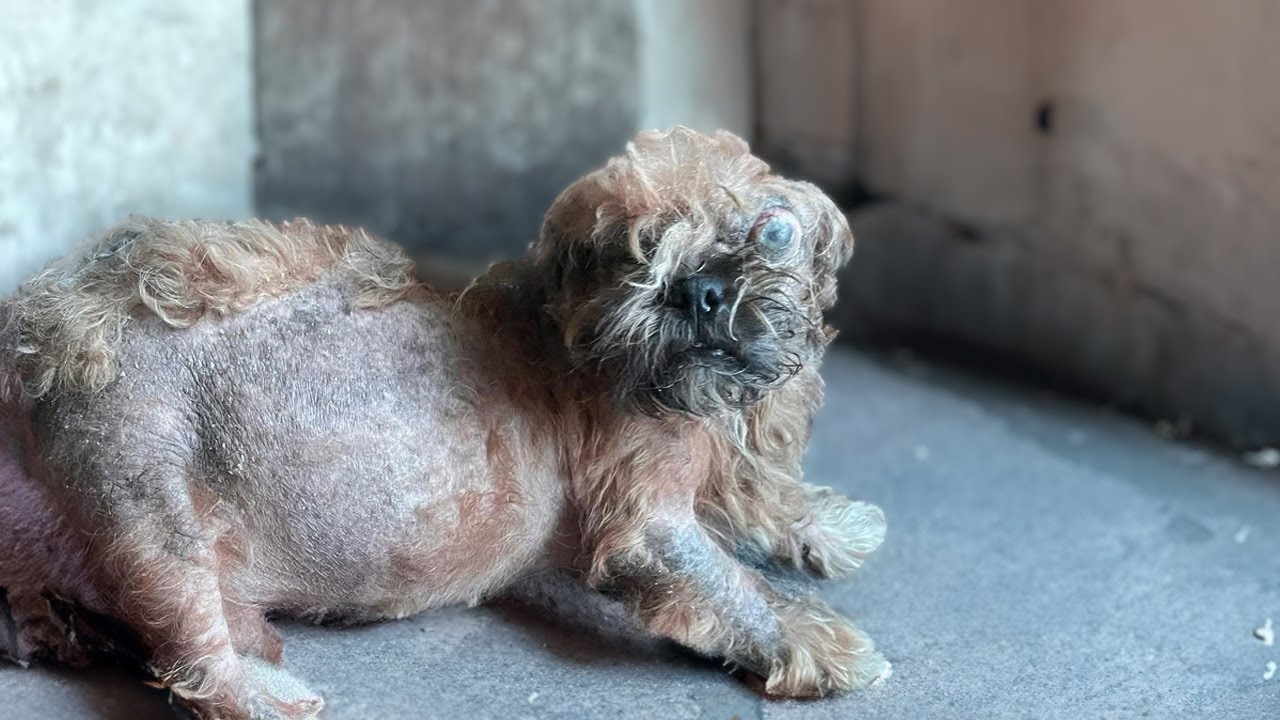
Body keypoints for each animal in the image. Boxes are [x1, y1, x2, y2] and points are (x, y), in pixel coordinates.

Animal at [0, 127, 890, 712]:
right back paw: (260, 688)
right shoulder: (645, 521)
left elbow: (761, 497)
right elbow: (727, 582)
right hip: (138, 482)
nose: (700, 288)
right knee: (192, 654)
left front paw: (824, 521)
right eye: (632, 253)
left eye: (771, 231)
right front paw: (812, 637)